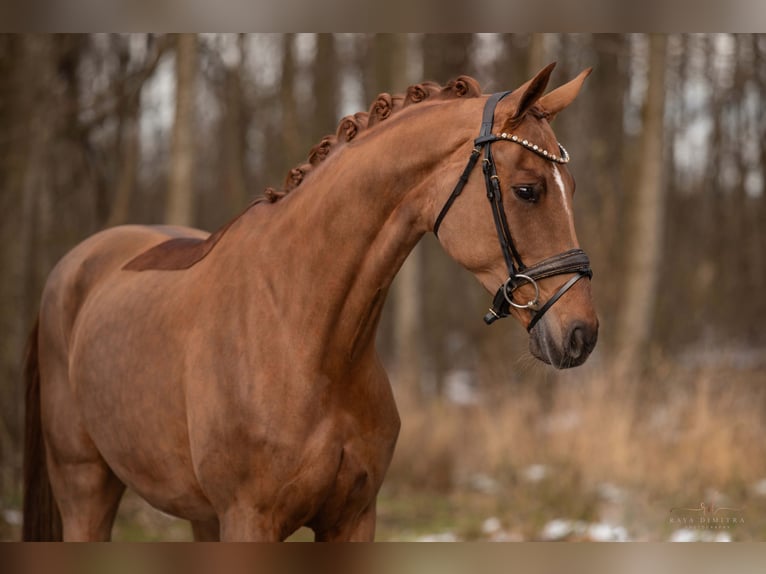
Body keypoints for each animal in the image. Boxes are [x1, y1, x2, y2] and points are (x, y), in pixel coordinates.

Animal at [21, 65, 600, 544]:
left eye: (572, 186)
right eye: (527, 190)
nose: (582, 334)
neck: (304, 335)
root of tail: (74, 265)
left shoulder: (353, 518)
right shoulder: (249, 520)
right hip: (85, 488)